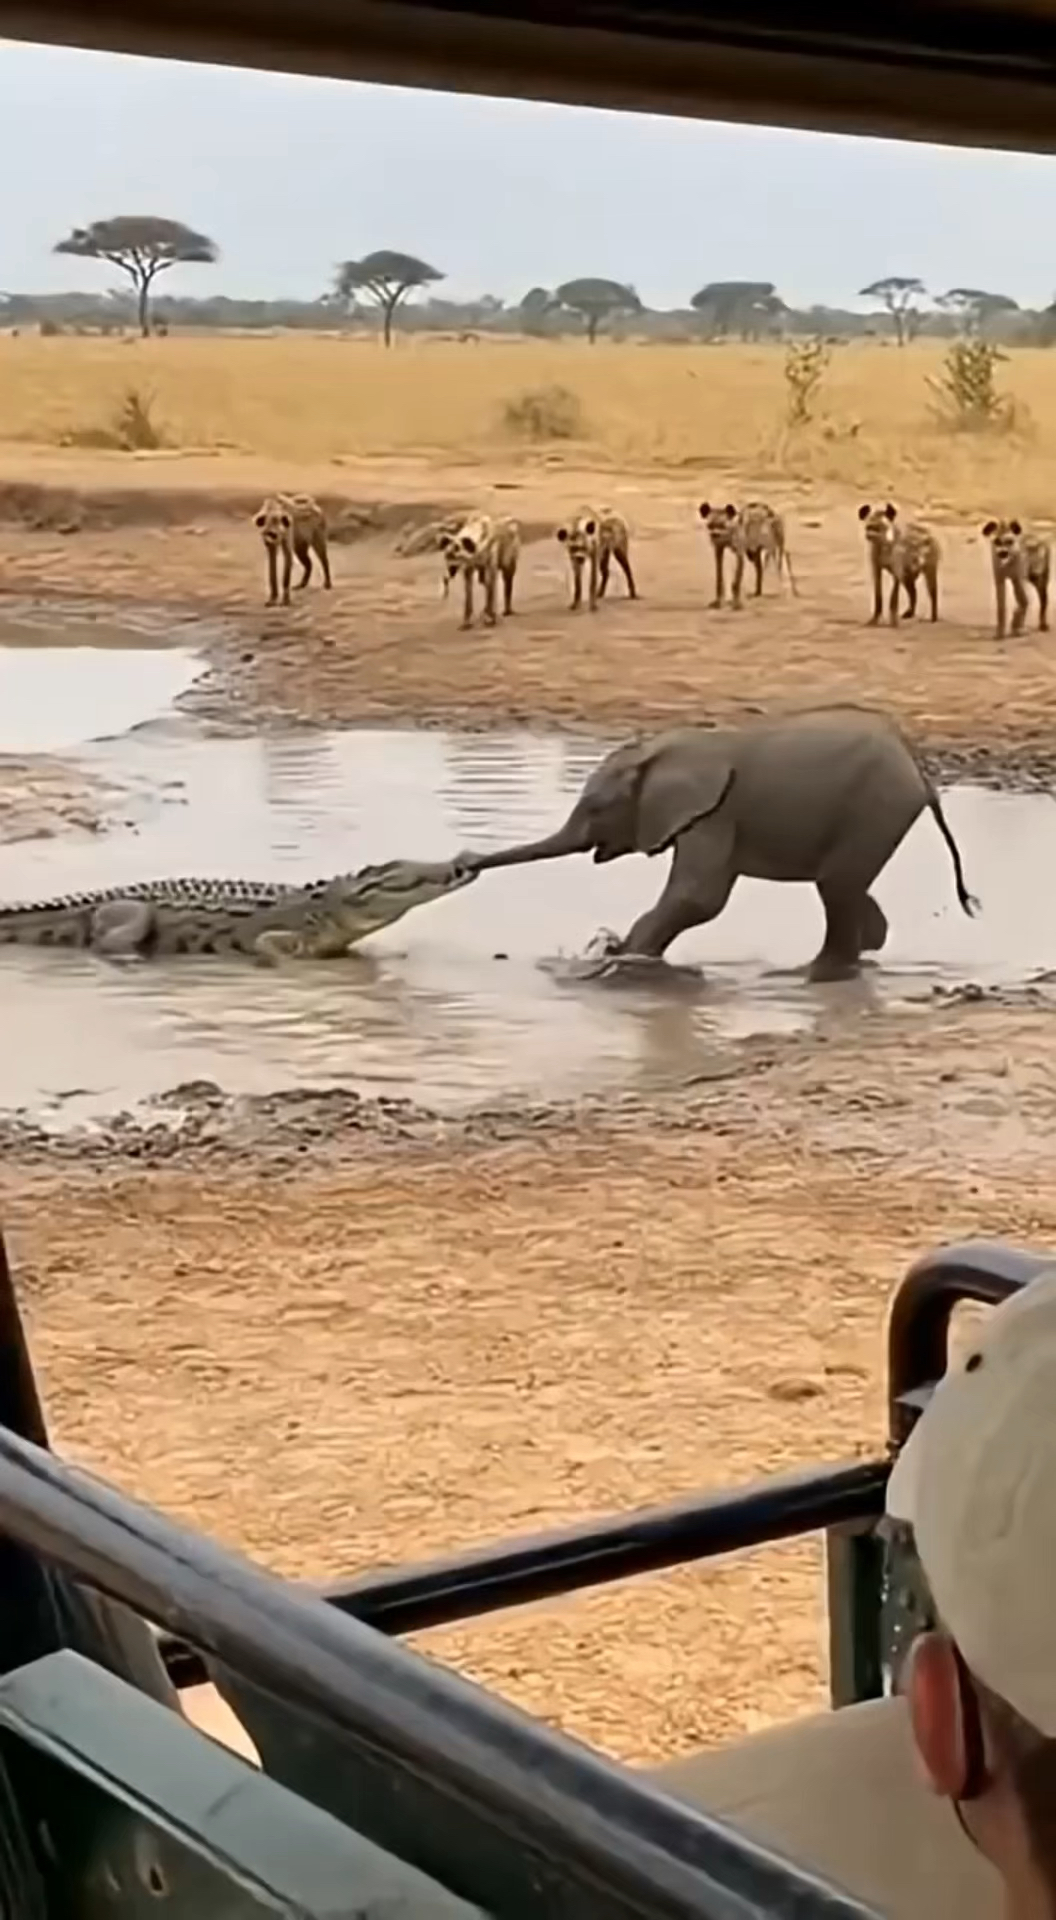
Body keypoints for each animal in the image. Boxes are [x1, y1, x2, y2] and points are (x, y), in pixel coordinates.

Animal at [458, 707, 978, 980]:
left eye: (597, 807)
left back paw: (812, 973)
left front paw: (625, 960)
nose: (464, 861)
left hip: (876, 805)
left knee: (837, 887)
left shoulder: (713, 813)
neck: (661, 751)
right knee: (848, 888)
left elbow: (699, 897)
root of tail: (919, 771)